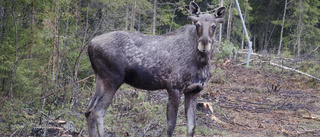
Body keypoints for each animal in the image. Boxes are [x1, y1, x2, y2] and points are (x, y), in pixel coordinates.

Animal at [85, 1, 225, 136]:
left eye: (214, 26)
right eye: (197, 24)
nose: (204, 44)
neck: (201, 63)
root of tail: (90, 44)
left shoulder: (194, 91)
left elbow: (191, 128)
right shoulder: (174, 87)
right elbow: (170, 126)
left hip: (100, 78)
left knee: (88, 110)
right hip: (113, 79)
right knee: (98, 111)